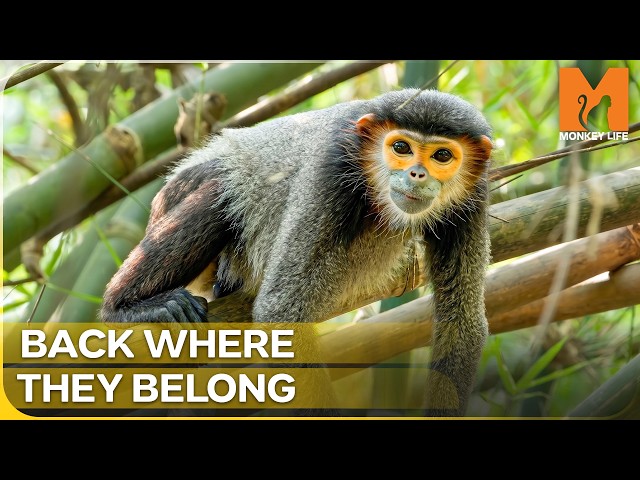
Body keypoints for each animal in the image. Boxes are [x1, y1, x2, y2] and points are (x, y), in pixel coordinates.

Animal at [99, 88, 494, 417]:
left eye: (442, 155)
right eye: (401, 149)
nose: (416, 174)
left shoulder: (475, 194)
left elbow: (462, 321)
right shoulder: (331, 167)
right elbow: (282, 311)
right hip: (178, 193)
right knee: (221, 188)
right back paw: (126, 307)